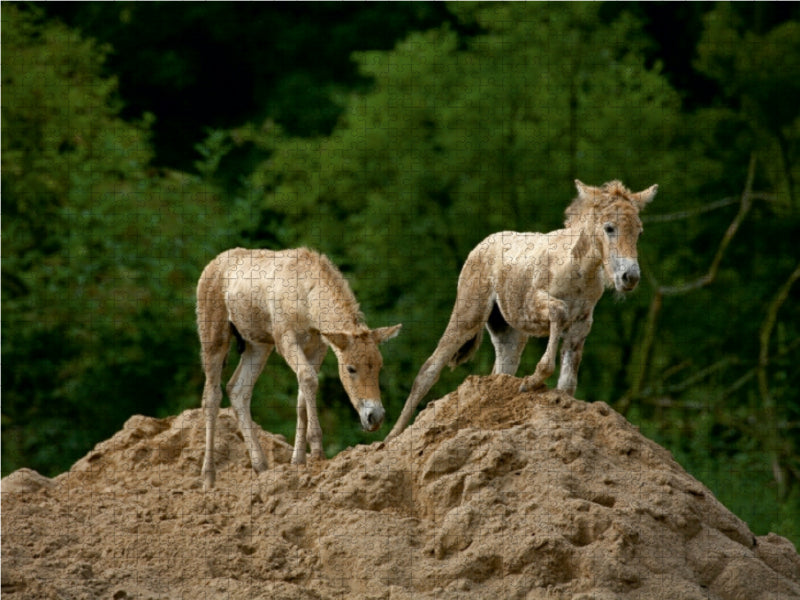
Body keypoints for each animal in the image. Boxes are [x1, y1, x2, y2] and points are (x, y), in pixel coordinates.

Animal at [198, 246, 404, 490]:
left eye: (379, 366)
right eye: (350, 368)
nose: (375, 417)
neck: (308, 300)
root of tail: (210, 266)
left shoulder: (317, 346)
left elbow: (302, 393)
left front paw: (297, 460)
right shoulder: (285, 338)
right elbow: (308, 378)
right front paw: (316, 451)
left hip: (257, 345)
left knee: (237, 389)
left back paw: (261, 466)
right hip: (214, 336)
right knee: (212, 396)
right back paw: (208, 478)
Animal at [388, 180, 656, 438]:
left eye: (639, 231)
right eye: (609, 228)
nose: (629, 277)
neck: (578, 270)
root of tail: (481, 245)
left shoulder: (582, 323)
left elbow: (568, 383)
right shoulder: (535, 305)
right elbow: (558, 311)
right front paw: (533, 380)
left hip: (508, 332)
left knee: (499, 370)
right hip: (468, 315)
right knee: (429, 369)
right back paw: (391, 437)